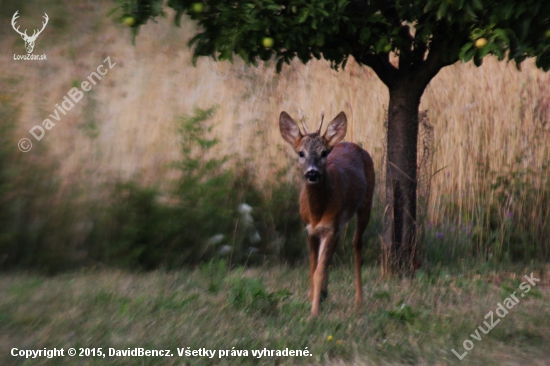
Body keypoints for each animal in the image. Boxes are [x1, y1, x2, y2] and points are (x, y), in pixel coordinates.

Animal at [280, 110, 376, 316]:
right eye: (301, 153)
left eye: (324, 153)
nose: (312, 173)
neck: (317, 213)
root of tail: (351, 143)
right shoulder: (310, 229)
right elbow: (313, 267)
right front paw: (313, 299)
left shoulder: (330, 228)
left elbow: (319, 270)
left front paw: (314, 312)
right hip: (338, 225)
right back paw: (325, 293)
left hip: (366, 203)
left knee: (357, 246)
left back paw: (359, 299)